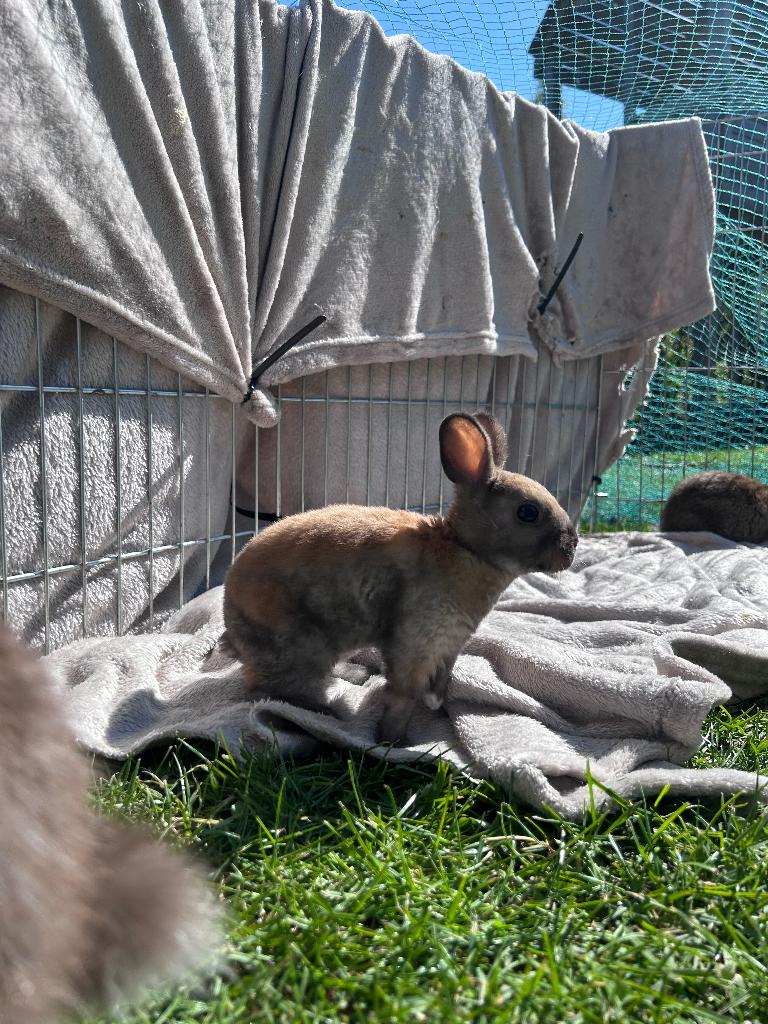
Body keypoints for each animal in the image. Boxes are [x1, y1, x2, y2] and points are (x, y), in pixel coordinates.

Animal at [223, 411, 578, 743]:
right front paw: (393, 741)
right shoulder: (414, 645)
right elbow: (403, 696)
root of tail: (231, 621)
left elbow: (441, 682)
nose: (572, 546)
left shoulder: (447, 648)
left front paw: (434, 704)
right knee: (269, 691)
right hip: (301, 647)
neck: (465, 548)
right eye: (528, 512)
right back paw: (328, 713)